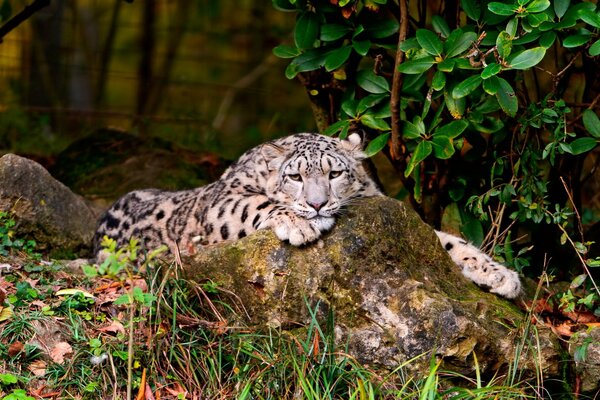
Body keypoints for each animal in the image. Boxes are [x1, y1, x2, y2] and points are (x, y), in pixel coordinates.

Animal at [94, 133, 520, 298]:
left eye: (334, 173)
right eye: (296, 176)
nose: (316, 204)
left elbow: (445, 240)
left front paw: (500, 275)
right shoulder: (221, 202)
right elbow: (255, 204)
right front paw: (300, 224)